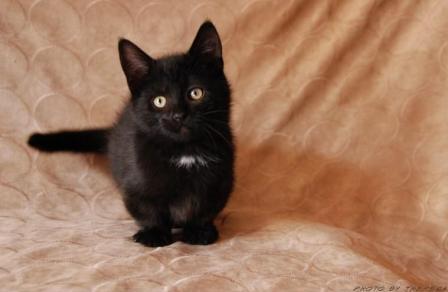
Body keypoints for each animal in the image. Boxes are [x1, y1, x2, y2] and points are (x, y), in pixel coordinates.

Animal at [28, 21, 234, 248]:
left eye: (195, 93)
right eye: (159, 101)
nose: (178, 115)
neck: (184, 151)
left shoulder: (219, 181)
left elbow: (205, 207)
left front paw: (199, 230)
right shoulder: (135, 182)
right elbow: (148, 210)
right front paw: (154, 233)